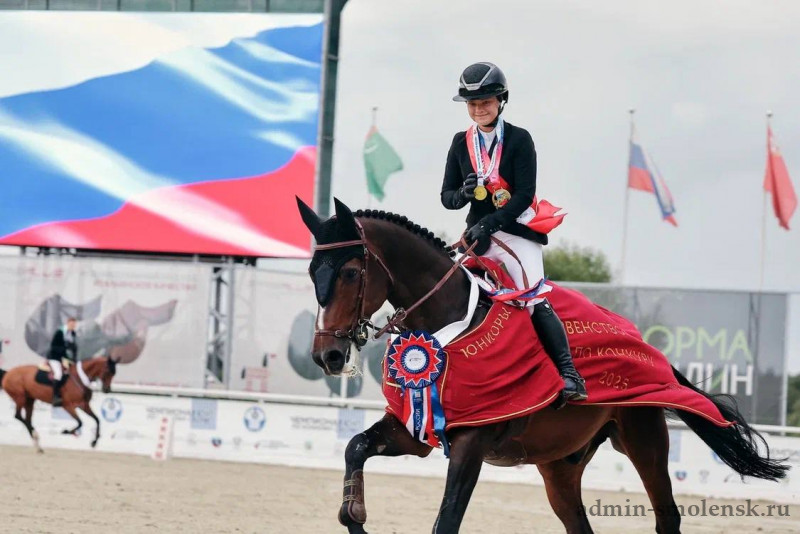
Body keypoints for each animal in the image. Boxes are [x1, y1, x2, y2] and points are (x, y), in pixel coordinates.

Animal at [297, 197, 788, 534]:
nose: (327, 355)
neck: (445, 329)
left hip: (644, 439)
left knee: (666, 517)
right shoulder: (415, 430)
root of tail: (650, 352)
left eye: (350, 273)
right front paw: (355, 512)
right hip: (560, 467)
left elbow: (446, 521)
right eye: (312, 271)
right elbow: (354, 448)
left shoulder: (472, 443)